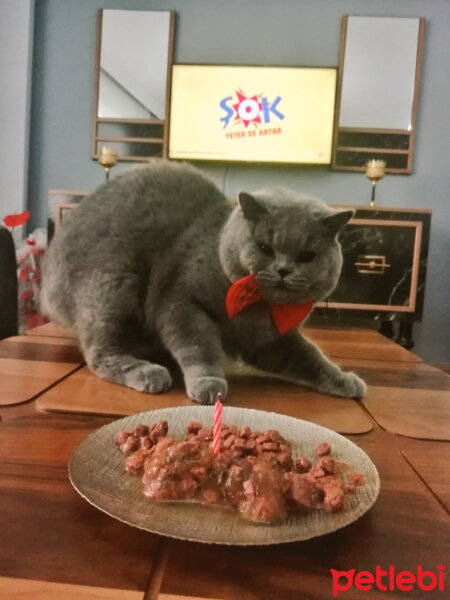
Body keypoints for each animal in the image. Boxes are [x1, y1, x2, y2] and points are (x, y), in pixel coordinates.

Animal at [41, 161, 366, 404]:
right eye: (265, 248)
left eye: (307, 255)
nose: (283, 270)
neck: (257, 311)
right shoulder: (182, 303)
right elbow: (199, 345)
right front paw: (209, 383)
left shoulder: (272, 340)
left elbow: (311, 357)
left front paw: (345, 380)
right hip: (113, 285)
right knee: (100, 352)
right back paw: (148, 372)